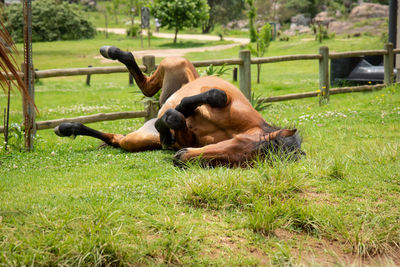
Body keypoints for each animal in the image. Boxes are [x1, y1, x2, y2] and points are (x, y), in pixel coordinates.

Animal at [54, 46, 304, 168]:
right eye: (241, 143)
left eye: (247, 162)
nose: (181, 158)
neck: (234, 129)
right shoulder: (226, 98)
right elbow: (216, 95)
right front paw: (180, 112)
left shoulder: (188, 138)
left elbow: (175, 121)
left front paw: (169, 131)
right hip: (177, 63)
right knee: (147, 87)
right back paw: (112, 51)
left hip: (135, 141)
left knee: (116, 138)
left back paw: (67, 128)